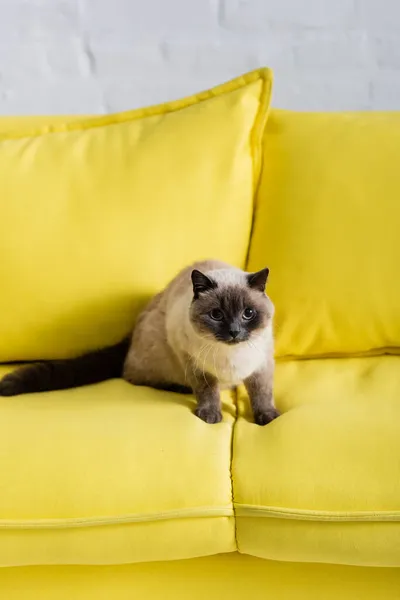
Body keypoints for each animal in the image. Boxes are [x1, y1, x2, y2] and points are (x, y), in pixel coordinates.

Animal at [0, 260, 278, 424]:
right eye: (216, 315)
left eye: (248, 314)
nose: (234, 332)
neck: (232, 356)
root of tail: (132, 330)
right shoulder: (194, 365)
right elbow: (207, 391)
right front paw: (210, 416)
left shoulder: (262, 366)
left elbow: (262, 393)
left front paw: (268, 417)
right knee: (132, 374)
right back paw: (179, 388)